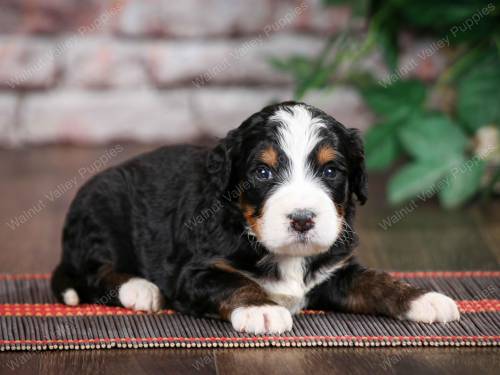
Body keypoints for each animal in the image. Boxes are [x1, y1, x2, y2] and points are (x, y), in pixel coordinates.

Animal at [52, 102, 458, 334]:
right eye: (263, 173)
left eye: (330, 171)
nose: (302, 219)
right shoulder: (196, 272)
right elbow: (234, 282)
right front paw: (262, 309)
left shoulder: (336, 270)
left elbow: (375, 280)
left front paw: (423, 298)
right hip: (100, 208)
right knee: (93, 271)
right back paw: (140, 289)